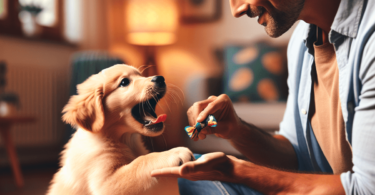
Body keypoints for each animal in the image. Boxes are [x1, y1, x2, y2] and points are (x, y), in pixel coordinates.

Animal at [47, 64, 194, 194]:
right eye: (124, 82)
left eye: (141, 75)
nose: (160, 78)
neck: (123, 139)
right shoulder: (105, 182)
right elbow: (140, 162)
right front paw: (174, 152)